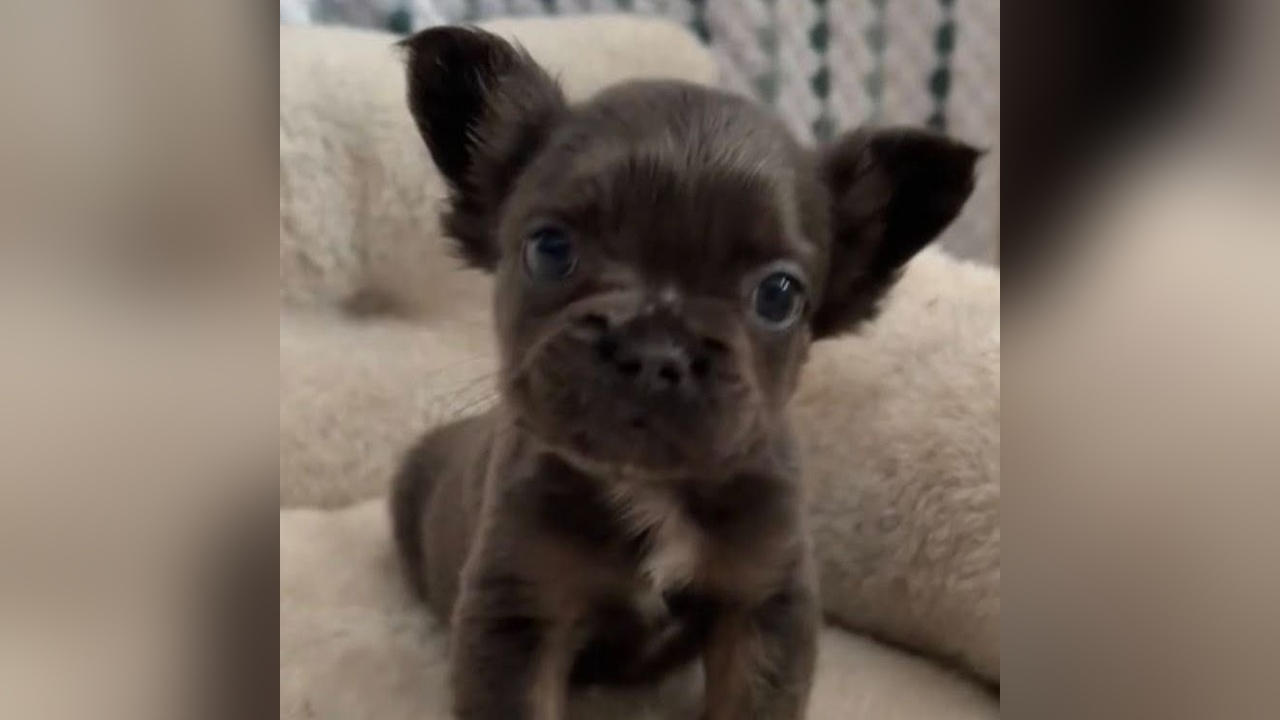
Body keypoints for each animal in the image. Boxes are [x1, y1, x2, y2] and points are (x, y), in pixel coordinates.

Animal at [390, 26, 978, 720]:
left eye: (778, 296)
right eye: (550, 250)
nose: (655, 349)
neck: (653, 488)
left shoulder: (760, 604)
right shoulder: (520, 612)